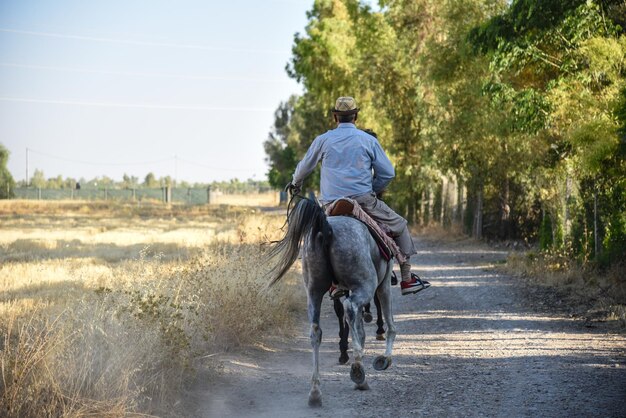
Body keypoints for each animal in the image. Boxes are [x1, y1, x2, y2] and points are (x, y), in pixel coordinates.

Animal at [266, 198, 394, 406]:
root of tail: (326, 227)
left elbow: (358, 330)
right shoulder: (383, 285)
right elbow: (388, 325)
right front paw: (384, 359)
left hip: (314, 292)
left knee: (316, 331)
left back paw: (316, 392)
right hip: (366, 285)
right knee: (350, 307)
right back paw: (357, 368)